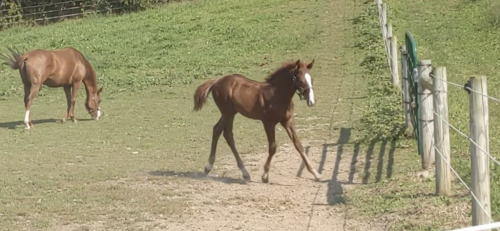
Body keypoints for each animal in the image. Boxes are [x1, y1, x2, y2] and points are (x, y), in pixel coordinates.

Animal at [193, 59, 322, 184]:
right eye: (300, 80)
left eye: (311, 79)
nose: (311, 101)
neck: (277, 95)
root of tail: (216, 81)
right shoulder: (268, 123)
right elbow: (273, 148)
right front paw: (265, 176)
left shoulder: (287, 121)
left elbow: (298, 145)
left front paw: (316, 174)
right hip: (227, 113)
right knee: (226, 134)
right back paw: (241, 172)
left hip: (230, 113)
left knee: (218, 130)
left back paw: (213, 168)